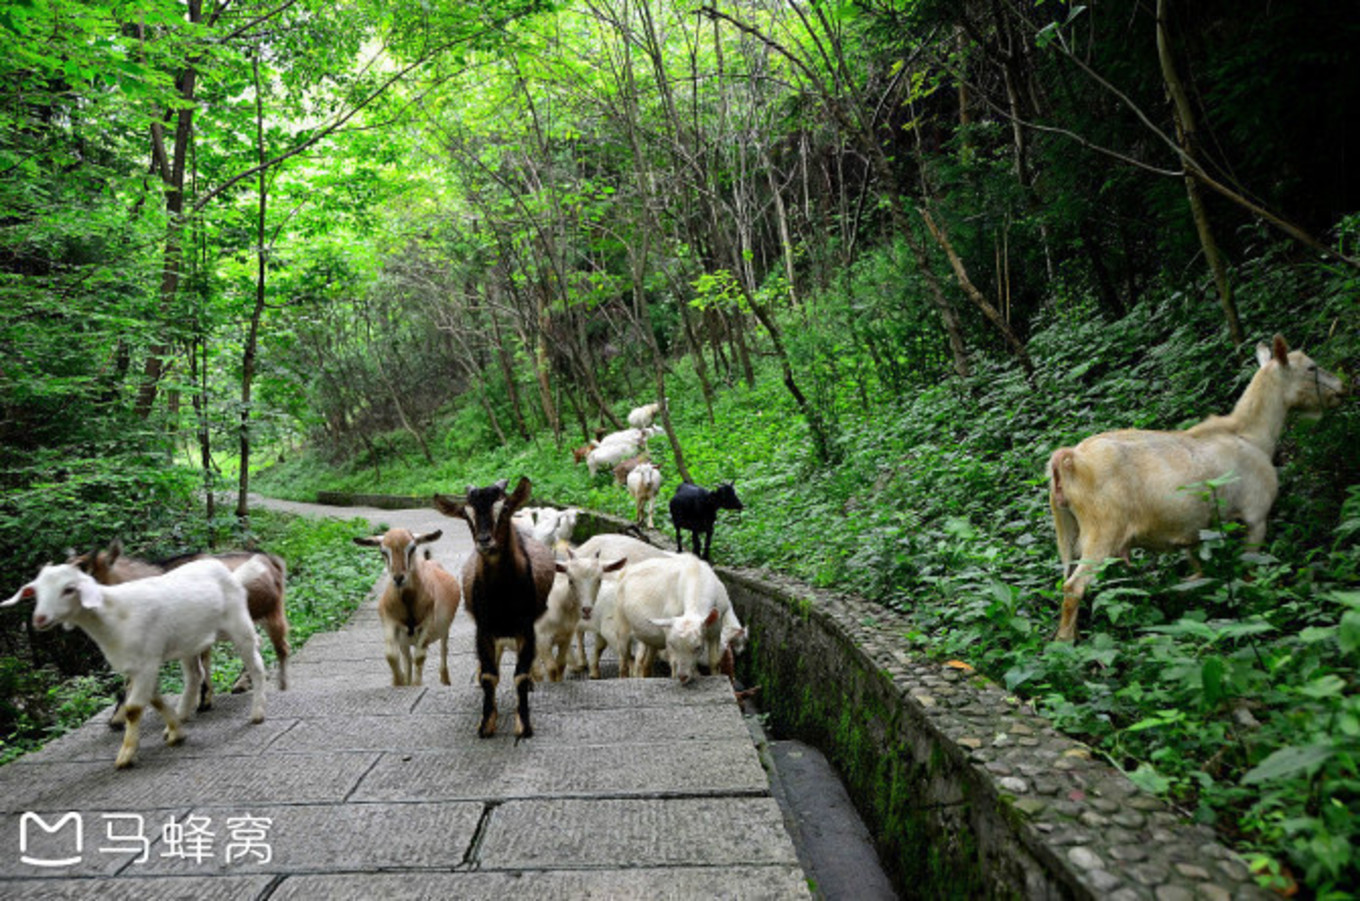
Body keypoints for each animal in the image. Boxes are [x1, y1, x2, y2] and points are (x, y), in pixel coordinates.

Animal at [4, 566, 265, 767]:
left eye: (68, 589)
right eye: (36, 591)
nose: (39, 619)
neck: (114, 615)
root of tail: (228, 571)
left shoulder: (146, 662)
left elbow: (134, 709)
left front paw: (126, 755)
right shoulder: (139, 666)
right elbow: (154, 700)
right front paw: (175, 731)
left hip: (238, 625)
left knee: (256, 665)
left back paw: (257, 713)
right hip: (188, 642)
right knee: (194, 675)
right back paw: (183, 713)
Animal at [350, 530, 462, 685]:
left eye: (412, 548)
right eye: (383, 551)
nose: (398, 578)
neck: (407, 604)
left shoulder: (428, 625)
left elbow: (419, 657)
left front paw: (416, 685)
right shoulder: (389, 622)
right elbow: (391, 655)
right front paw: (399, 682)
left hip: (444, 630)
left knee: (443, 650)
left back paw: (445, 680)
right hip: (404, 641)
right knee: (407, 660)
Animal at [440, 479, 557, 740]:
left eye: (503, 509)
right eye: (467, 515)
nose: (484, 540)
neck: (501, 597)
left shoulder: (526, 627)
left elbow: (520, 675)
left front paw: (524, 725)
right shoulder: (483, 628)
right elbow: (489, 674)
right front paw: (486, 723)